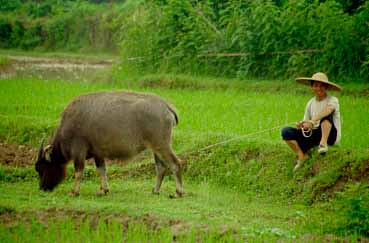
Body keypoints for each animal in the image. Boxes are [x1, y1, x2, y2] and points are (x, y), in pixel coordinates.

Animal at [35, 91, 182, 197]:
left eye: (41, 168)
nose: (42, 187)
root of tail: (166, 106)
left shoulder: (78, 152)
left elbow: (78, 172)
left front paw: (74, 192)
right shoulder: (98, 154)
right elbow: (102, 170)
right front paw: (103, 190)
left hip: (161, 145)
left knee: (175, 164)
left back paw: (178, 192)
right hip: (156, 148)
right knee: (161, 168)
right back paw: (155, 190)